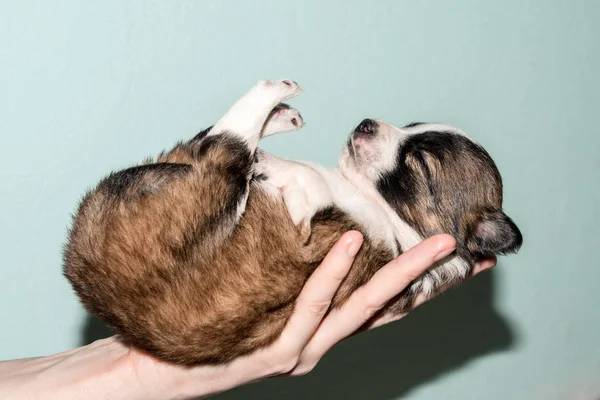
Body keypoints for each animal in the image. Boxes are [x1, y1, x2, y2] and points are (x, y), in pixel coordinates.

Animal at [64, 80, 520, 366]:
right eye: (409, 126)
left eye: (420, 163)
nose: (366, 123)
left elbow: (309, 186)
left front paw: (300, 198)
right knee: (212, 141)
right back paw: (279, 118)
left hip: (201, 196)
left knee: (223, 145)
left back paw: (273, 96)